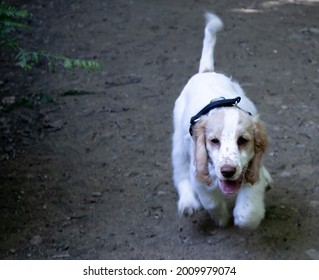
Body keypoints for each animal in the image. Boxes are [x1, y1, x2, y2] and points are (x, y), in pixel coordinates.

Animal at [172, 12, 272, 230]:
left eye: (243, 141)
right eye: (214, 141)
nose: (227, 171)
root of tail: (206, 72)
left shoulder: (250, 172)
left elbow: (247, 212)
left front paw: (246, 219)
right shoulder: (199, 174)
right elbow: (210, 200)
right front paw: (222, 219)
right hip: (178, 143)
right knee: (180, 172)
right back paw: (187, 203)